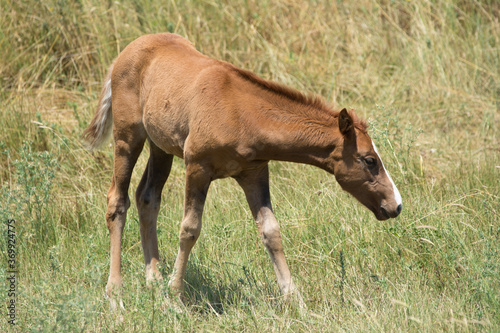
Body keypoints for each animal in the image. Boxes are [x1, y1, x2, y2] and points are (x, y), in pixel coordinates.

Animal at [83, 33, 402, 312]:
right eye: (369, 160)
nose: (395, 205)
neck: (241, 113)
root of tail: (124, 53)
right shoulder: (197, 167)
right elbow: (189, 229)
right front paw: (175, 298)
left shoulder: (254, 173)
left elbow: (271, 231)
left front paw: (295, 301)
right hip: (128, 137)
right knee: (117, 201)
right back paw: (116, 295)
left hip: (160, 146)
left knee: (147, 197)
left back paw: (154, 281)